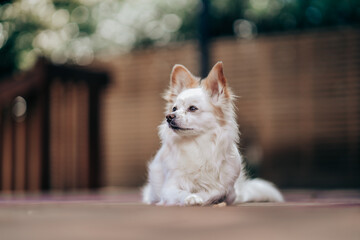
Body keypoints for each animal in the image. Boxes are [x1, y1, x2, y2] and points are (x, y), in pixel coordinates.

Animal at [142, 62, 282, 206]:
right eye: (174, 109)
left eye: (192, 108)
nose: (169, 117)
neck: (197, 145)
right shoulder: (168, 189)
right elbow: (181, 192)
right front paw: (191, 197)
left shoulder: (230, 192)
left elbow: (216, 191)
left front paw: (203, 196)